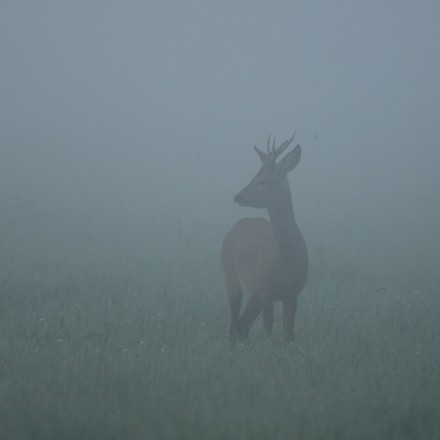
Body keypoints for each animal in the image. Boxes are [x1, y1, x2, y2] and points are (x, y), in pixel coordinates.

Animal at [222, 132, 308, 342]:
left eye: (262, 181)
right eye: (255, 175)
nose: (238, 196)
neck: (286, 258)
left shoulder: (292, 293)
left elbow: (288, 337)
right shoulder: (266, 291)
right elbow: (270, 336)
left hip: (254, 293)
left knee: (243, 325)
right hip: (231, 276)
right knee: (234, 324)